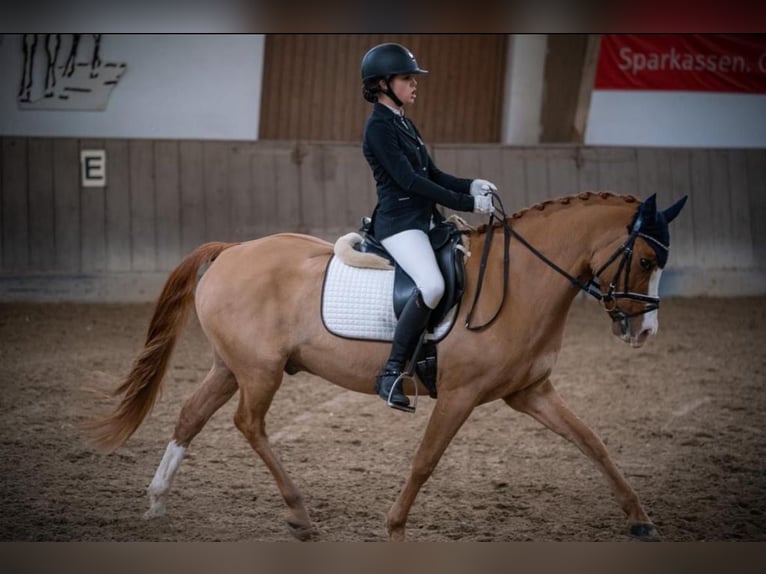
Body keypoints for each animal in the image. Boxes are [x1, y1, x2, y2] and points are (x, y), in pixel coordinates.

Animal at [84, 192, 688, 544]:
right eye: (646, 259)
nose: (645, 333)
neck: (519, 282)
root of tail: (233, 250)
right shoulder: (460, 395)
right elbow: (425, 462)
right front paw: (395, 526)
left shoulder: (532, 392)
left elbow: (593, 443)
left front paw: (641, 519)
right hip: (260, 371)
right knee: (248, 424)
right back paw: (300, 515)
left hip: (230, 366)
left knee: (191, 415)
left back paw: (157, 503)